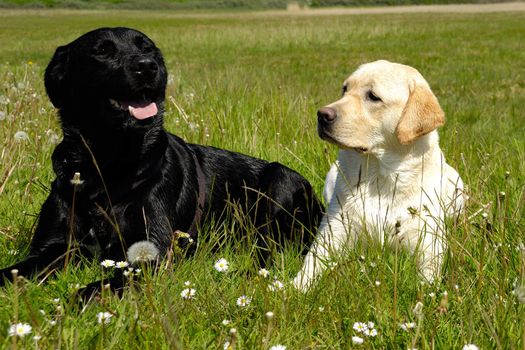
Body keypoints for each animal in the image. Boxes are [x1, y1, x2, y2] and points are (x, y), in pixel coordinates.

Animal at [0, 28, 322, 296]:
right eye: (102, 51)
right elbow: (13, 270)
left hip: (280, 181)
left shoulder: (149, 256)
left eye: (149, 49)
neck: (107, 167)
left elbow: (96, 287)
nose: (147, 66)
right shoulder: (52, 247)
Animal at [294, 60, 462, 290]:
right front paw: (290, 287)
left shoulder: (428, 241)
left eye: (373, 96)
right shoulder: (333, 230)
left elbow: (428, 279)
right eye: (345, 89)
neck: (380, 176)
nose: (322, 115)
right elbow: (310, 264)